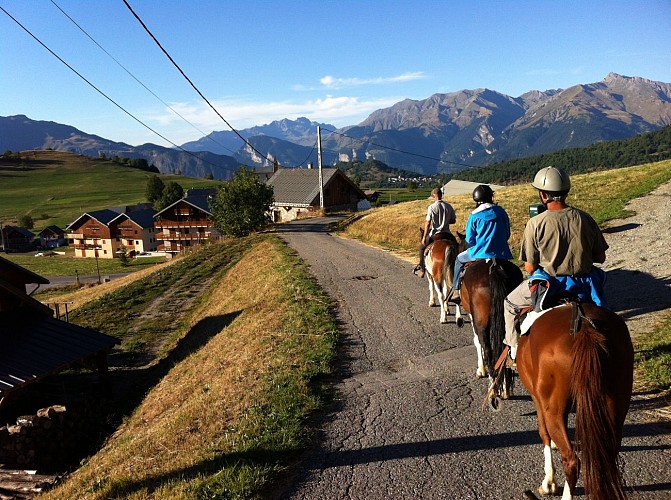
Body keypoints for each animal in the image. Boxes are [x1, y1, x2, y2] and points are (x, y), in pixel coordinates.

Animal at [452, 246, 524, 406]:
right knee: (507, 347)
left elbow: (477, 342)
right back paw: (505, 388)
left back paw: (493, 390)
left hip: (482, 322)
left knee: (488, 348)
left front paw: (481, 370)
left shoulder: (473, 317)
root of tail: (495, 268)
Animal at [516, 300, 632, 500]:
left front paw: (549, 482)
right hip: (616, 405)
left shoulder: (538, 400)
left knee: (571, 461)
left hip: (553, 409)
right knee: (607, 456)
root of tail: (585, 327)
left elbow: (544, 433)